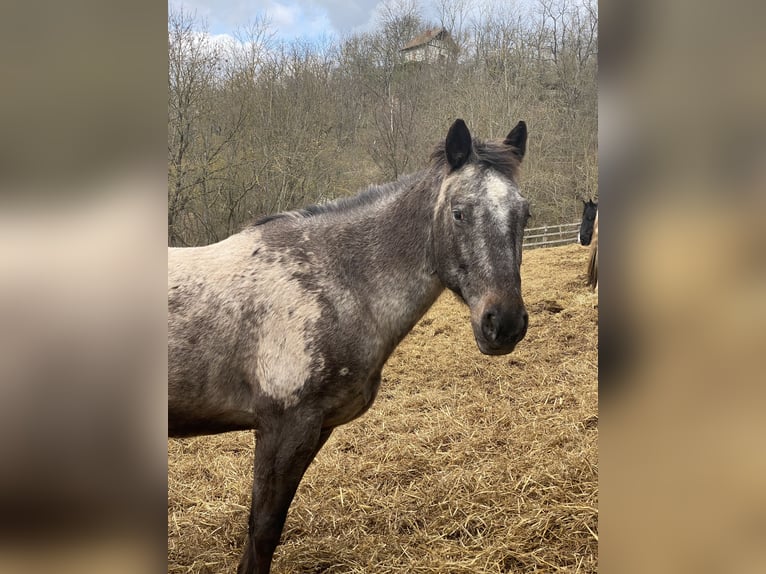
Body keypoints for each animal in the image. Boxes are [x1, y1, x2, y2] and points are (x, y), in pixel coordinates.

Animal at [167, 119, 532, 572]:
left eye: (525, 214)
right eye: (459, 212)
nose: (505, 323)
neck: (332, 279)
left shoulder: (316, 428)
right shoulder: (283, 427)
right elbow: (263, 530)